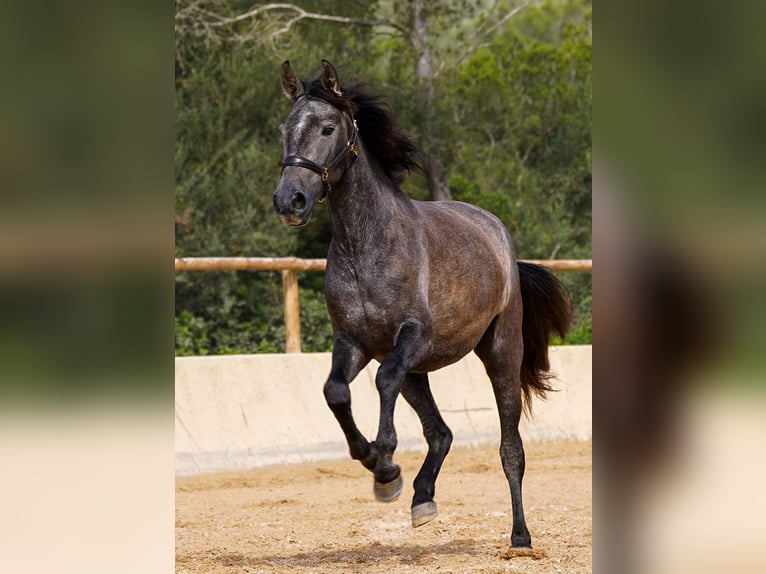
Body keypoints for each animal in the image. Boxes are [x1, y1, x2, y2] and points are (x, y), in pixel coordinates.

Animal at [272, 60, 572, 552]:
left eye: (328, 127)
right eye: (284, 129)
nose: (289, 201)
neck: (367, 247)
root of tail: (496, 232)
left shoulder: (412, 337)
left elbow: (382, 382)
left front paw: (384, 460)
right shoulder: (355, 341)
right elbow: (336, 391)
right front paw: (381, 470)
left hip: (500, 353)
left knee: (510, 449)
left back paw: (520, 536)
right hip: (419, 372)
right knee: (441, 431)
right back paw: (421, 499)